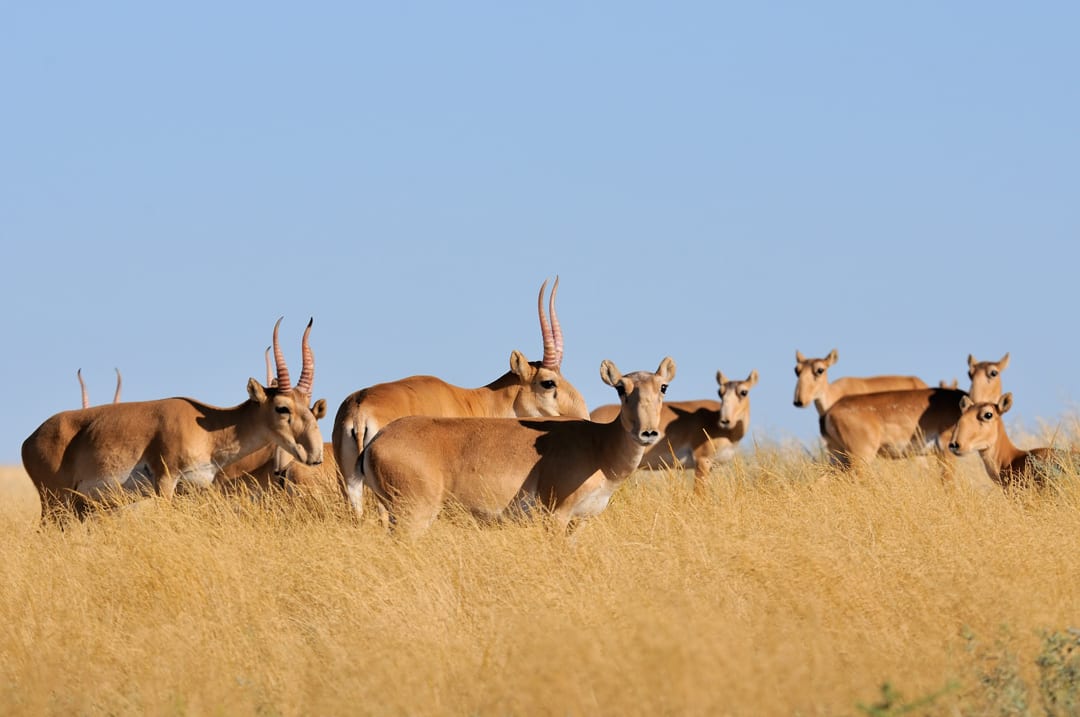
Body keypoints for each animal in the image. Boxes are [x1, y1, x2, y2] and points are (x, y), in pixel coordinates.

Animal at [22, 317, 324, 518]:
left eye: (311, 407)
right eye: (282, 408)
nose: (315, 454)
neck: (209, 427)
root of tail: (29, 440)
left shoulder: (192, 490)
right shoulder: (166, 482)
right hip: (55, 502)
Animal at [358, 356, 673, 535]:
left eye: (663, 387)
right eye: (621, 388)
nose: (647, 432)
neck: (598, 444)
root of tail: (375, 441)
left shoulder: (579, 521)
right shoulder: (555, 517)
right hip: (413, 517)